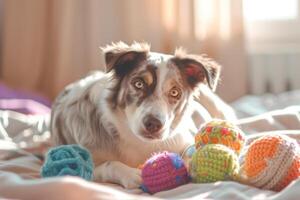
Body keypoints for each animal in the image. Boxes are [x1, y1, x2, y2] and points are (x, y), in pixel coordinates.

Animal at [50, 41, 236, 188]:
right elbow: (109, 164)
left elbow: (190, 151)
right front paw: (132, 174)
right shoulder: (79, 168)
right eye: (138, 84)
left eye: (175, 92)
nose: (153, 124)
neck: (141, 143)